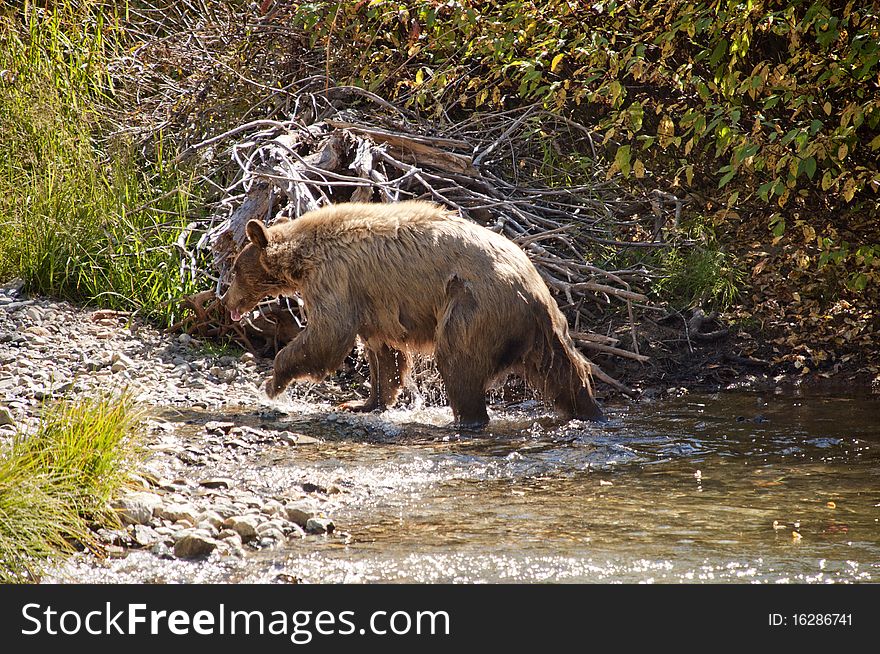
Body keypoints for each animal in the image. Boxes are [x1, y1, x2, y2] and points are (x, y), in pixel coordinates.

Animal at [223, 205, 600, 430]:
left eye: (236, 269)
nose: (226, 302)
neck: (301, 257)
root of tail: (534, 288)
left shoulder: (335, 278)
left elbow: (328, 333)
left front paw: (273, 381)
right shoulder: (371, 300)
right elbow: (382, 354)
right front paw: (363, 401)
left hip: (472, 306)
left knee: (459, 363)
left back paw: (464, 420)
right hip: (543, 329)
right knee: (565, 372)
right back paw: (588, 410)